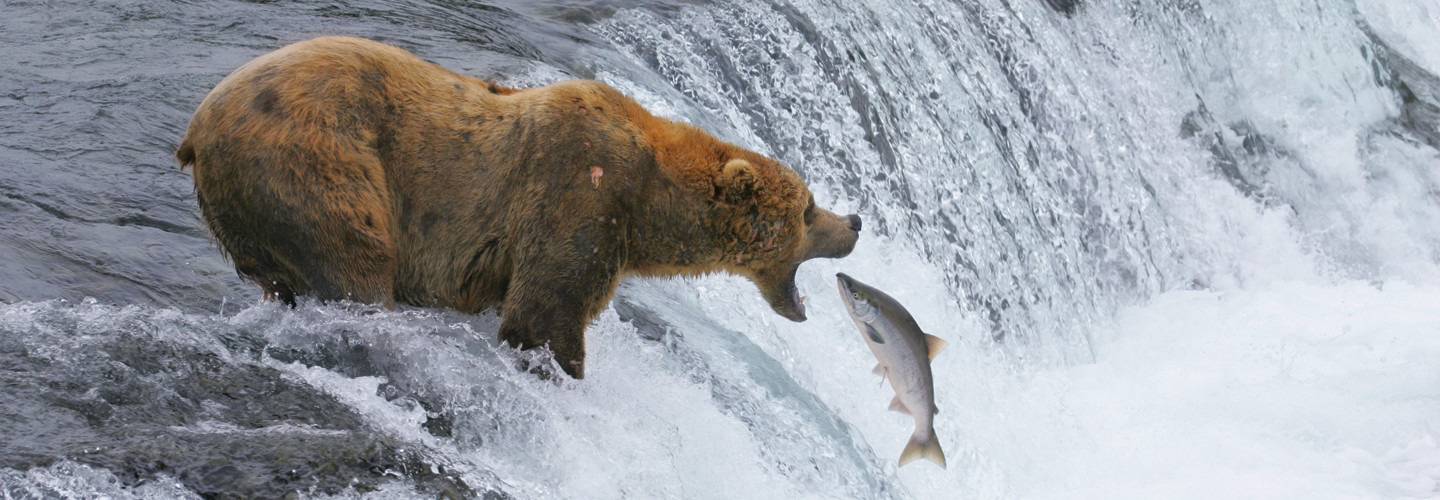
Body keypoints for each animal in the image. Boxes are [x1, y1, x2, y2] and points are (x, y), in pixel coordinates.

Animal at [174, 36, 858, 380]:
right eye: (807, 209)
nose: (853, 222)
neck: (651, 207)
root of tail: (196, 131)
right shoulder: (579, 193)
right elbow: (544, 314)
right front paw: (563, 369)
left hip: (247, 213)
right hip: (313, 162)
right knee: (355, 263)